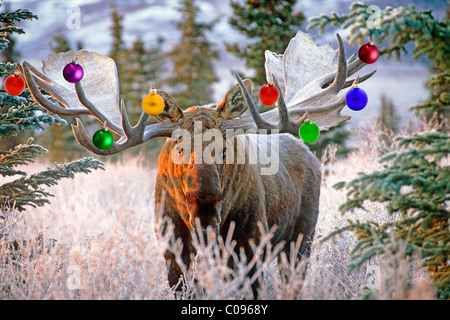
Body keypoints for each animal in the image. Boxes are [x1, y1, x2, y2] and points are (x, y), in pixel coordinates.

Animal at [20, 31, 372, 298]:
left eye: (225, 147)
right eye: (178, 146)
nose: (205, 200)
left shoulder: (250, 248)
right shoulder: (172, 253)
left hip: (301, 237)